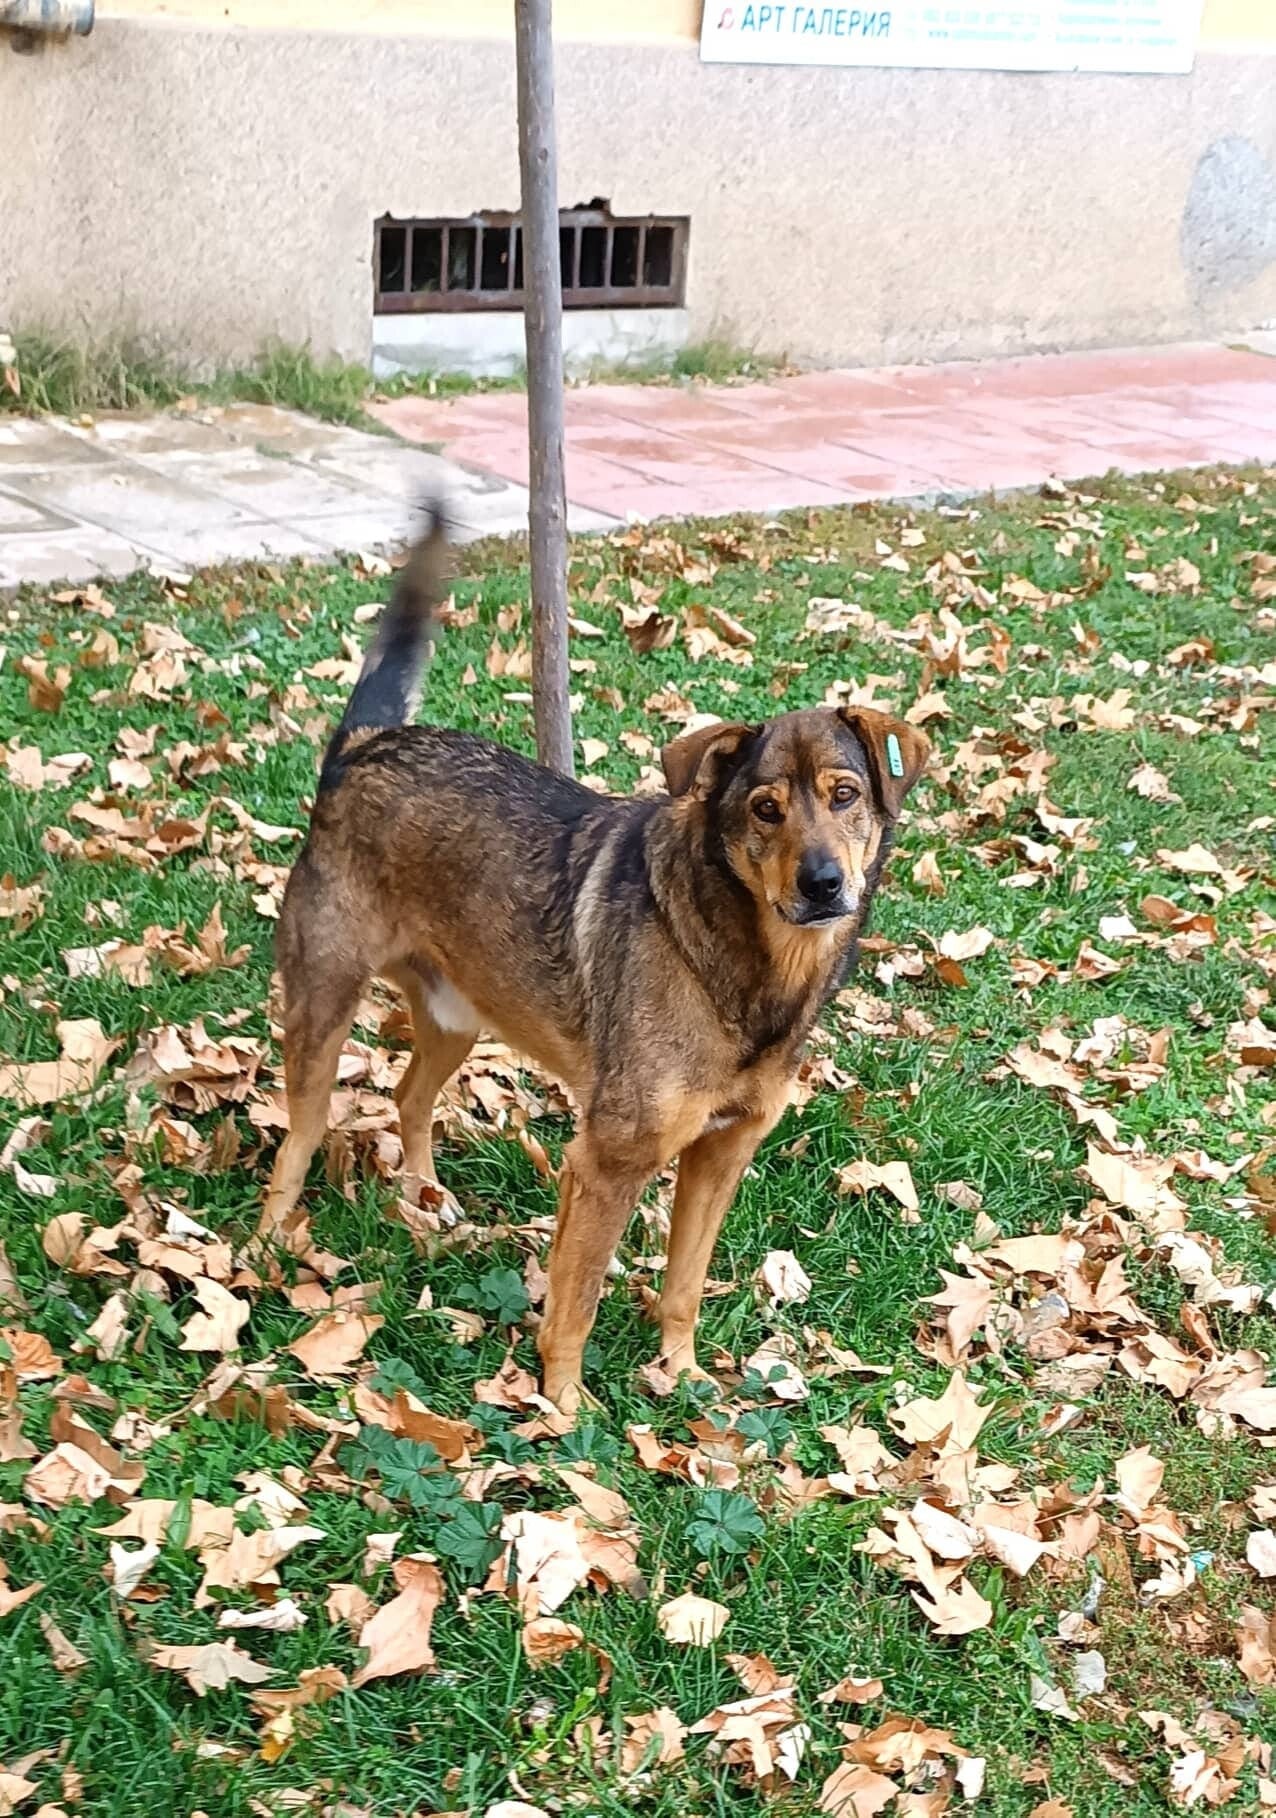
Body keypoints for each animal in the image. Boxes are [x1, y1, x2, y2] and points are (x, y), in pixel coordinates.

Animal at [263, 505, 929, 1411]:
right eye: (765, 809)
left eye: (846, 794)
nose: (825, 884)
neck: (750, 967)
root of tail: (365, 747)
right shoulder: (608, 1164)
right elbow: (575, 1299)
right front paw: (563, 1408)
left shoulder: (722, 1155)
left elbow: (684, 1284)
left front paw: (681, 1376)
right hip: (323, 1006)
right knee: (297, 1141)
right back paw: (266, 1245)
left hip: (457, 1017)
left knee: (408, 1095)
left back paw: (425, 1200)